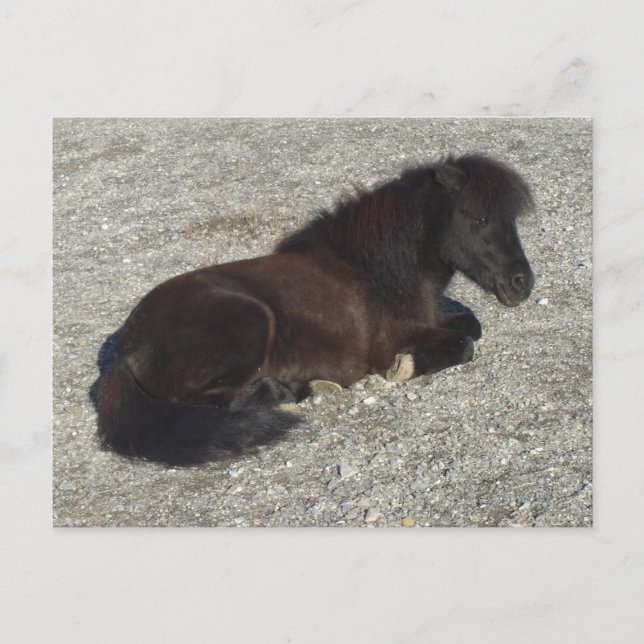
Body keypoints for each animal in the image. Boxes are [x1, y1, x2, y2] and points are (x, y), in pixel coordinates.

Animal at [96, 154, 535, 465]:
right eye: (480, 218)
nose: (523, 283)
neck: (375, 270)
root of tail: (125, 347)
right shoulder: (394, 341)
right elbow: (463, 344)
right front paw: (406, 366)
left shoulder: (433, 319)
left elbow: (471, 325)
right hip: (250, 326)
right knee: (206, 403)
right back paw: (288, 391)